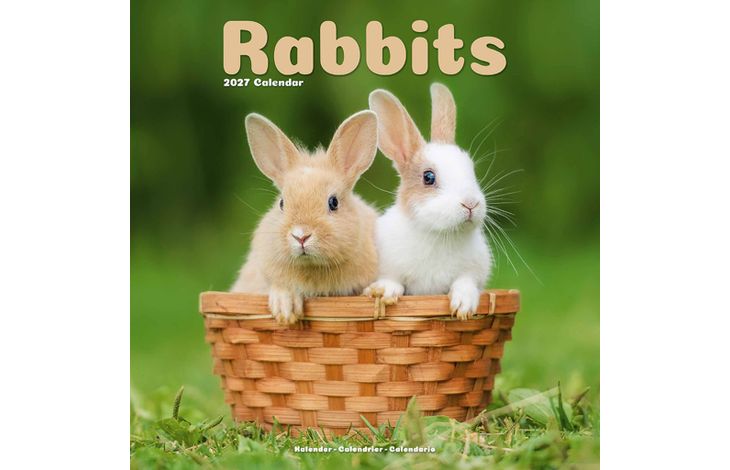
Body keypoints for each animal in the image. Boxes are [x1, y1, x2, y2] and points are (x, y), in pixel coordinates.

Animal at [364, 83, 493, 320]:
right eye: (428, 177)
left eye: (472, 170)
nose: (470, 204)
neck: (439, 234)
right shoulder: (387, 266)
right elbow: (392, 280)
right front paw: (384, 292)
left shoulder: (474, 271)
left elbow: (465, 282)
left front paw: (463, 307)